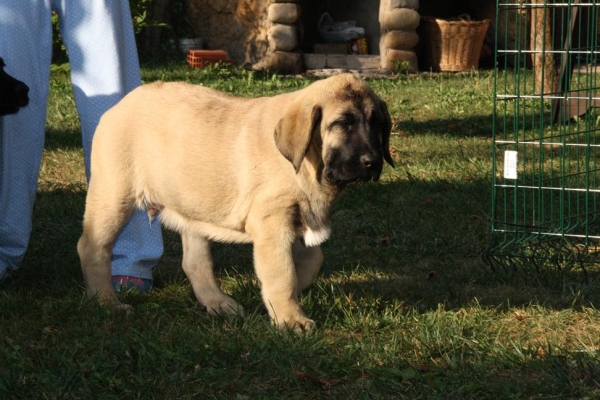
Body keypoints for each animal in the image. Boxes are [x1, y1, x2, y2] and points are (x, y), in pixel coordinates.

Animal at [78, 74, 394, 332]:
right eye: (342, 124)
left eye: (377, 123)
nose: (373, 162)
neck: (307, 163)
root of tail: (118, 106)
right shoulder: (272, 223)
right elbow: (283, 274)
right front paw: (290, 318)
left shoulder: (299, 218)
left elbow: (312, 261)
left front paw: (278, 301)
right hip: (114, 196)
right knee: (93, 247)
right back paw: (106, 302)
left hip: (192, 207)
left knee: (195, 263)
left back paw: (218, 304)